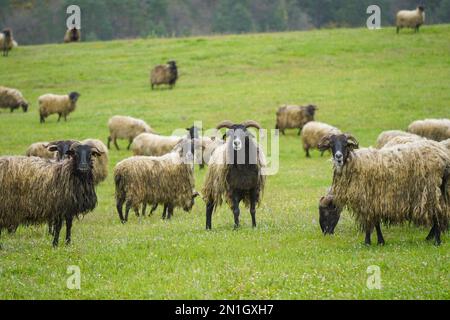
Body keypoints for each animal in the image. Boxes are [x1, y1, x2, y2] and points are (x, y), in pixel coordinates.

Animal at [318, 134, 450, 246]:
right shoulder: (375, 200)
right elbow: (376, 222)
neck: (357, 162)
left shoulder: (368, 198)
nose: (338, 156)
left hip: (431, 189)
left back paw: (436, 241)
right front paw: (380, 241)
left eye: (346, 144)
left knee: (437, 213)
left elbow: (370, 221)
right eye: (331, 144)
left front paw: (367, 242)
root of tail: (443, 157)